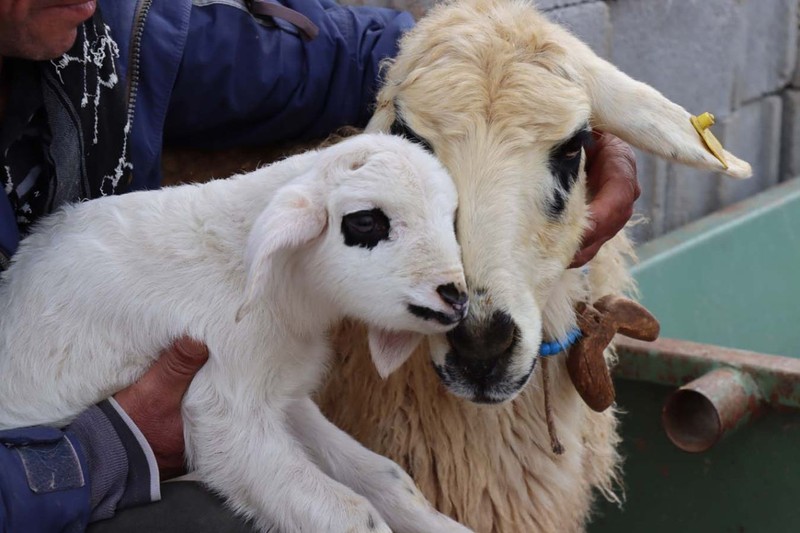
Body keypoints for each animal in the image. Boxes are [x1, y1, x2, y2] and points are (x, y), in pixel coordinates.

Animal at [0, 134, 472, 532]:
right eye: (365, 222)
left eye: (450, 219)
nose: (456, 296)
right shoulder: (223, 410)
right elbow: (351, 514)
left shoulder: (282, 394)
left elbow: (389, 478)